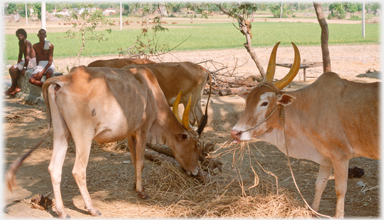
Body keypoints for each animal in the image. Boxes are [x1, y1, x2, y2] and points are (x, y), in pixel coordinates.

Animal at [5, 65, 201, 218]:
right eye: (195, 146)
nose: (195, 172)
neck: (151, 93)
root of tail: (64, 79)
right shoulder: (143, 130)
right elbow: (140, 162)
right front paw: (142, 191)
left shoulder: (130, 134)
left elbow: (134, 160)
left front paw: (135, 185)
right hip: (83, 136)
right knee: (78, 171)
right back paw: (91, 208)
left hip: (61, 133)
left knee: (54, 168)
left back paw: (62, 211)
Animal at [231, 42, 378, 217]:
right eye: (247, 101)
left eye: (264, 103)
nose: (235, 132)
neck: (311, 106)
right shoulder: (326, 157)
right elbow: (319, 184)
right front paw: (313, 211)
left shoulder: (341, 155)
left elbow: (340, 189)